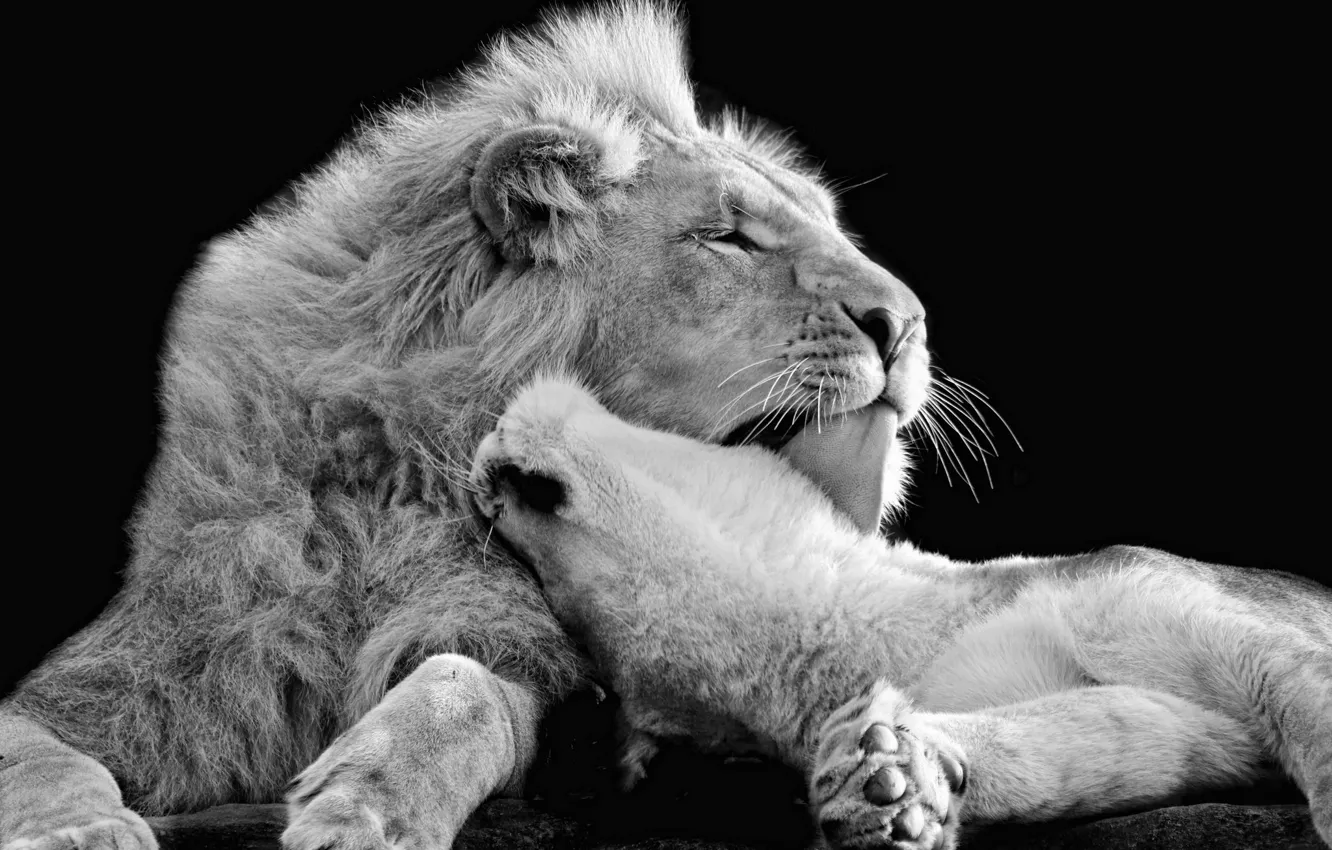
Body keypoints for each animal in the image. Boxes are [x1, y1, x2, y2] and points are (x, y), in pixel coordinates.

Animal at [0, 3, 939, 849]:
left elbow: (467, 690)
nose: (907, 323)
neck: (411, 482)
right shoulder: (136, 669)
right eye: (728, 237)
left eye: (828, 225)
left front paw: (367, 809)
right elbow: (33, 753)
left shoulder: (531, 672)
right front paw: (78, 829)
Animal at [469, 376, 1332, 849]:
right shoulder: (1190, 734)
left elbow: (1304, 695)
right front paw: (883, 785)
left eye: (538, 496)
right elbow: (1068, 747)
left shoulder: (1192, 615)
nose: (488, 467)